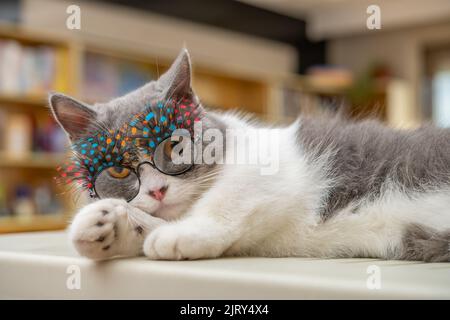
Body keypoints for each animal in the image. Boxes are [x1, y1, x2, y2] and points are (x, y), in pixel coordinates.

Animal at [49, 48, 450, 262]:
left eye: (174, 145)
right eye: (119, 171)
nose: (157, 190)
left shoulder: (268, 167)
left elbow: (227, 197)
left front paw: (181, 233)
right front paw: (106, 224)